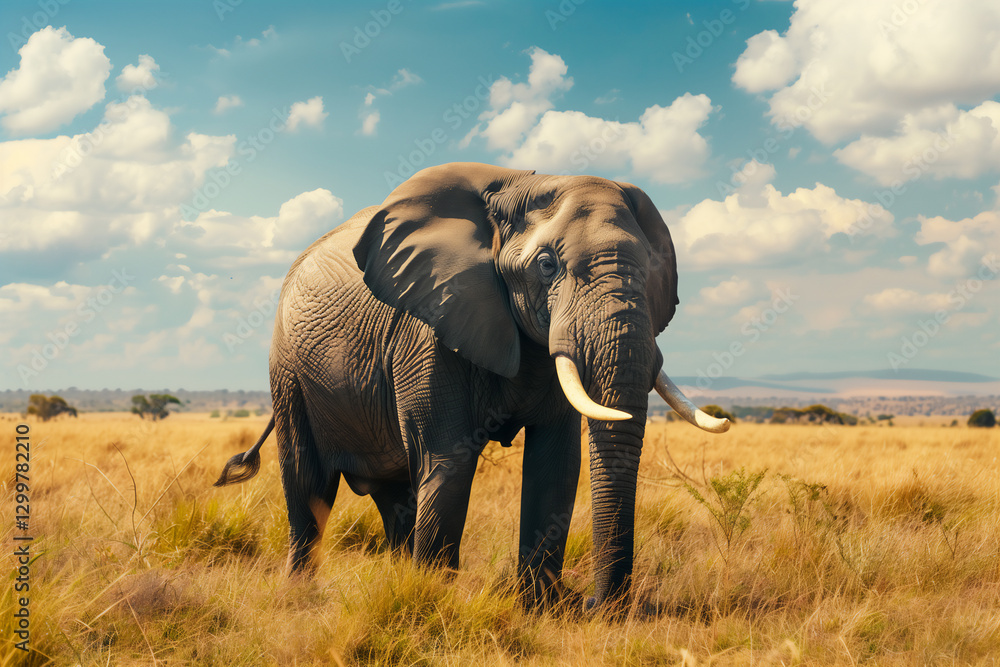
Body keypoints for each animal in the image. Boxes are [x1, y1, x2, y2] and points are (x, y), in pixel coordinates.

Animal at [215, 162, 729, 609]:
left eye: (651, 268)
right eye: (547, 265)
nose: (591, 603)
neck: (520, 185)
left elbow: (556, 464)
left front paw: (540, 607)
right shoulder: (429, 328)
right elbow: (448, 459)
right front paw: (433, 601)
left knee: (395, 493)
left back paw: (397, 576)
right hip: (289, 371)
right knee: (308, 480)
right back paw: (301, 594)